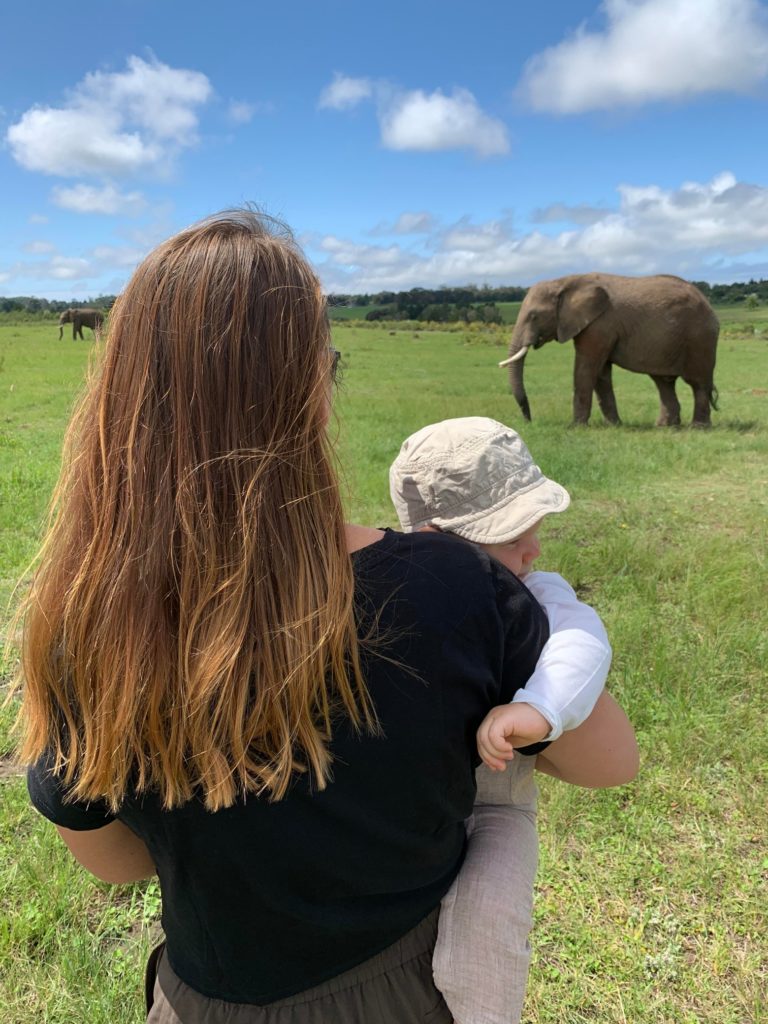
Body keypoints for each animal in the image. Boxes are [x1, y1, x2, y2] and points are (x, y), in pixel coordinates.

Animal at [499, 274, 720, 425]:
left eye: (534, 316)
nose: (529, 420)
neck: (564, 281)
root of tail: (709, 304)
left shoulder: (600, 325)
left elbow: (586, 369)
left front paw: (575, 426)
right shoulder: (597, 328)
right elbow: (601, 373)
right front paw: (614, 425)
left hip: (700, 338)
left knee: (697, 383)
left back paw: (698, 427)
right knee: (664, 382)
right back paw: (664, 426)